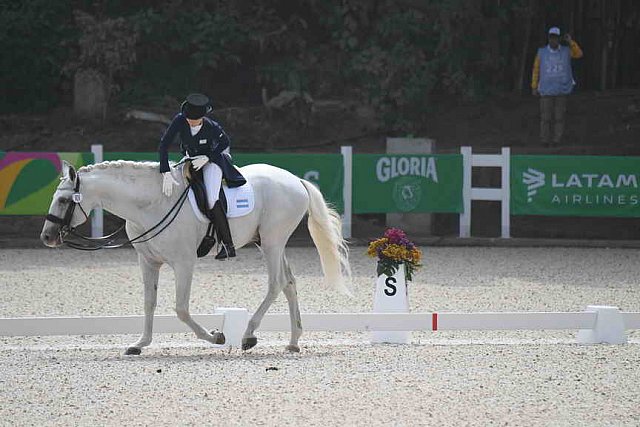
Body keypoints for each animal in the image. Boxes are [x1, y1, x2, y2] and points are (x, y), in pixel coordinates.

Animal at [40, 160, 350, 354]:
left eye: (64, 200)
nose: (47, 237)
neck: (151, 204)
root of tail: (295, 179)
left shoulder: (183, 263)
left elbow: (181, 309)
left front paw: (216, 336)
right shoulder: (148, 261)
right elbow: (149, 303)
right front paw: (140, 344)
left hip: (273, 241)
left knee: (275, 284)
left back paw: (249, 335)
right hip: (268, 242)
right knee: (289, 284)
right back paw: (293, 342)